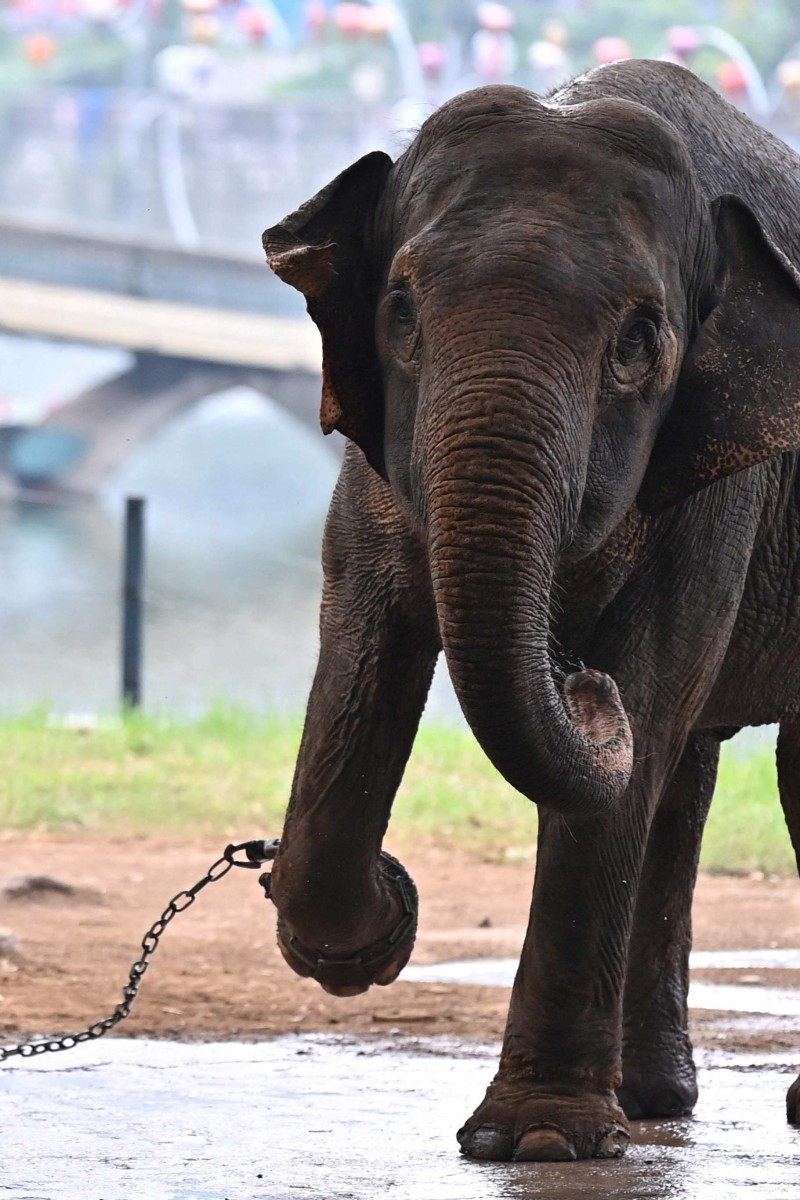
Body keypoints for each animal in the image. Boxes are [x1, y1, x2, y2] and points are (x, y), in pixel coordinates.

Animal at [261, 58, 800, 1162]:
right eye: (399, 311)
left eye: (640, 340)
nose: (578, 679)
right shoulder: (373, 458)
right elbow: (361, 641)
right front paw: (374, 926)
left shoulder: (725, 474)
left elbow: (645, 692)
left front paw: (539, 1142)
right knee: (680, 774)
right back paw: (653, 1100)